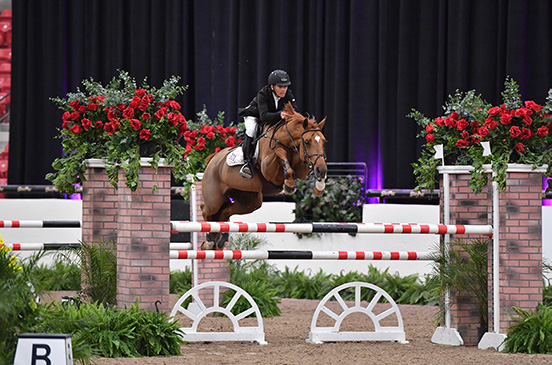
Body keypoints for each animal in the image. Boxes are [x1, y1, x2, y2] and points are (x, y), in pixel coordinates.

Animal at [201, 102, 326, 250]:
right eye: (307, 142)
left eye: (323, 142)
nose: (322, 170)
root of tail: (213, 160)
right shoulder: (269, 169)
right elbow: (280, 152)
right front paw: (289, 186)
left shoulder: (301, 163)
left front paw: (319, 187)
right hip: (214, 199)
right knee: (205, 210)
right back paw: (209, 241)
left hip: (250, 200)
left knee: (223, 213)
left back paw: (219, 240)